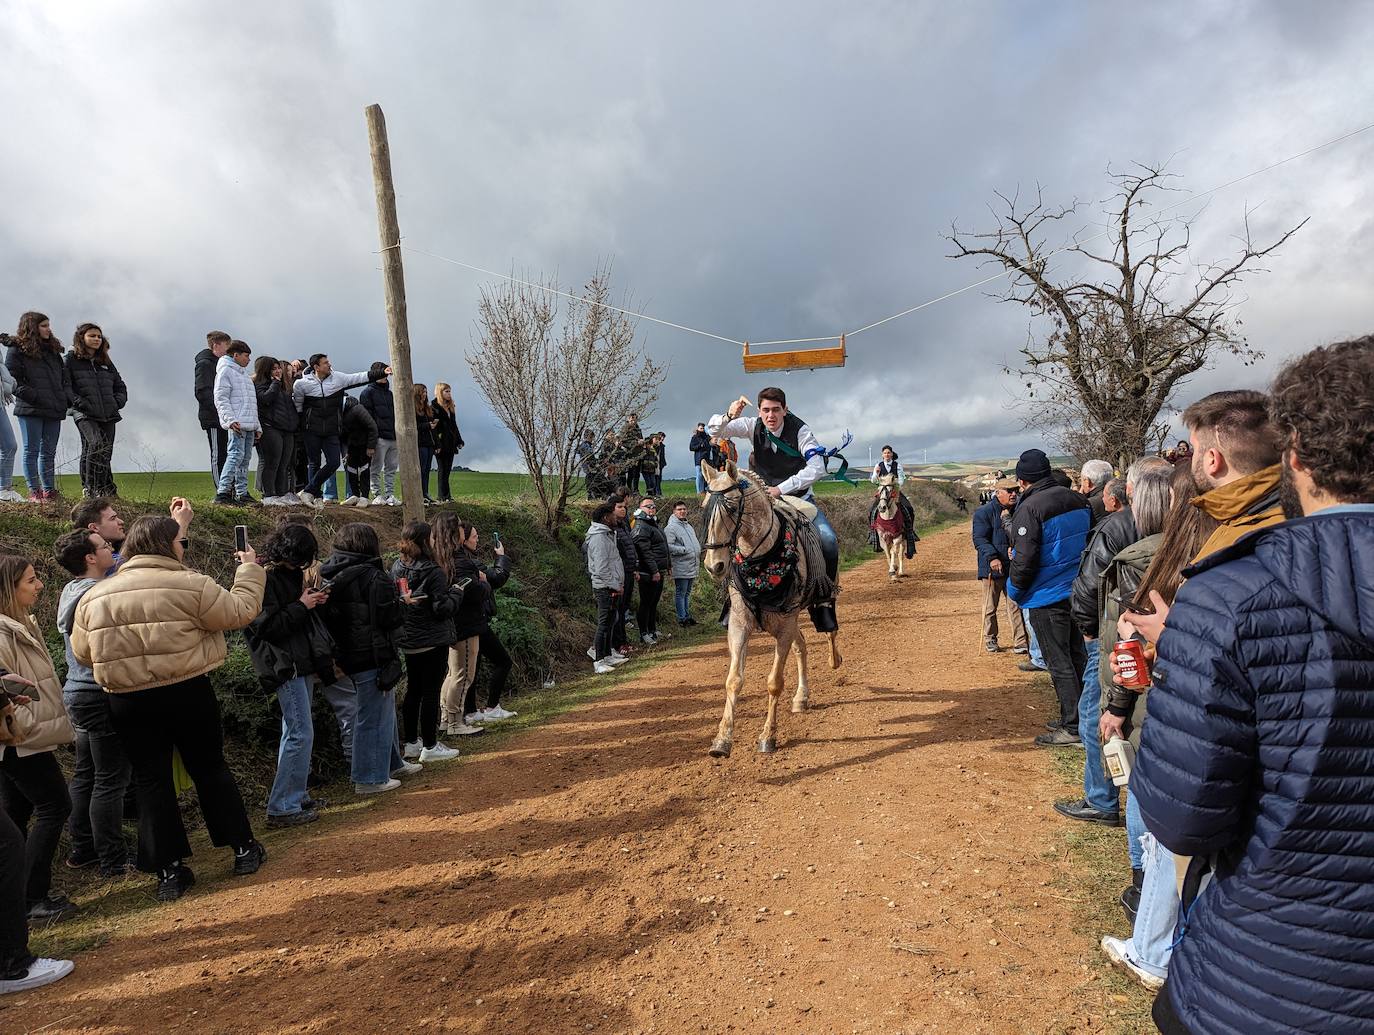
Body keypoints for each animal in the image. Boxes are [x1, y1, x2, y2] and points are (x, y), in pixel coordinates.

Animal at [703, 456, 840, 753]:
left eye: (732, 508)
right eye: (704, 507)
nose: (714, 566)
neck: (763, 563)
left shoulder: (784, 625)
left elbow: (774, 683)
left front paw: (768, 736)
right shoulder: (740, 624)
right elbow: (733, 681)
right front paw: (722, 740)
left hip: (815, 603)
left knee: (829, 631)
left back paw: (834, 659)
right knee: (801, 647)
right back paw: (801, 697)